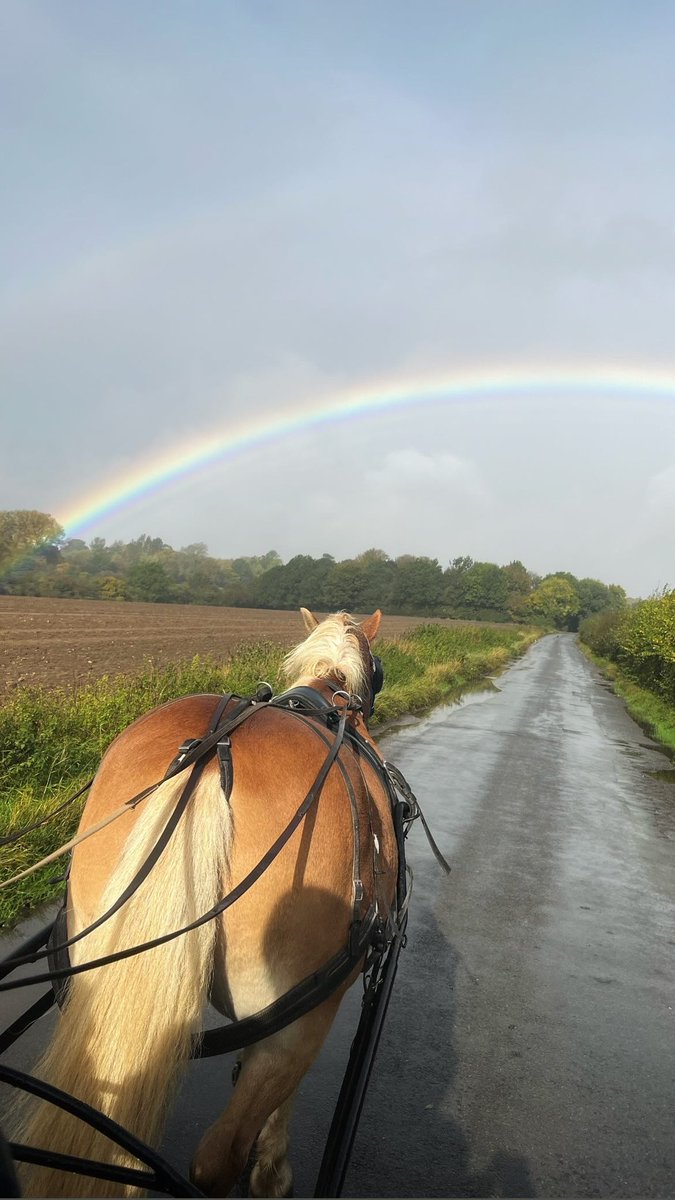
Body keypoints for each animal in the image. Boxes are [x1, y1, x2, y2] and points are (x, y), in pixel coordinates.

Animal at [18, 608, 397, 1198]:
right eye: (377, 672)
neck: (326, 692)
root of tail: (209, 761)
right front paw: (272, 1169)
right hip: (293, 1019)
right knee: (218, 1156)